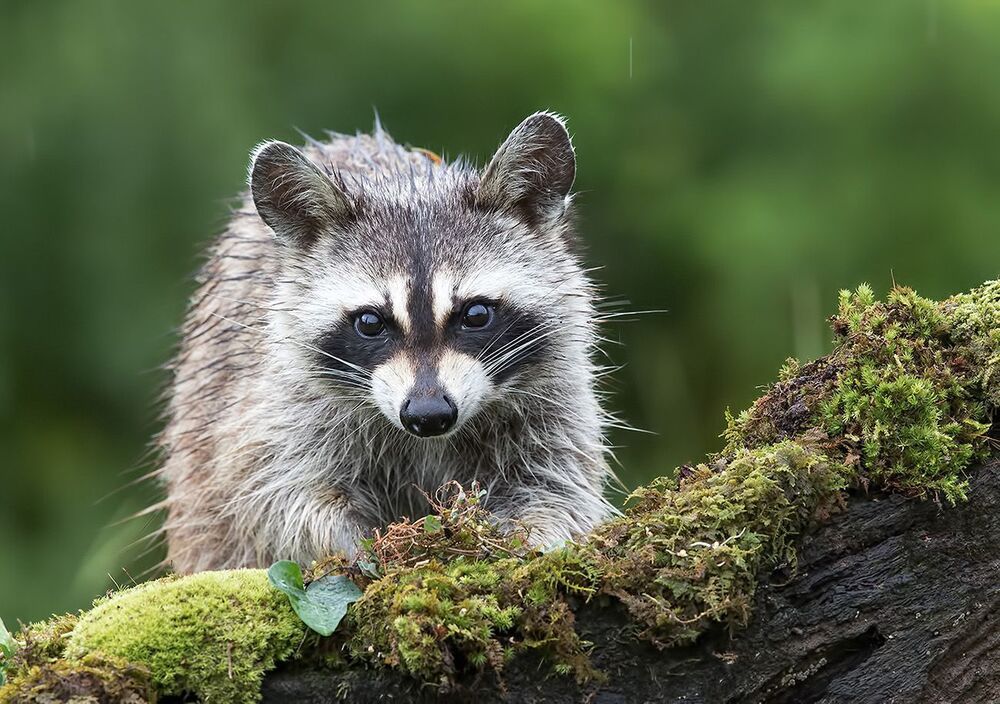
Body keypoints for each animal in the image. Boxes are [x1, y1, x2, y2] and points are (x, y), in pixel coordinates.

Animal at [158, 112, 616, 573]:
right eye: (370, 322)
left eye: (476, 315)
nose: (429, 415)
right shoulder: (279, 401)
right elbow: (275, 493)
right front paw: (355, 543)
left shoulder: (555, 390)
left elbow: (560, 481)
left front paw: (531, 537)